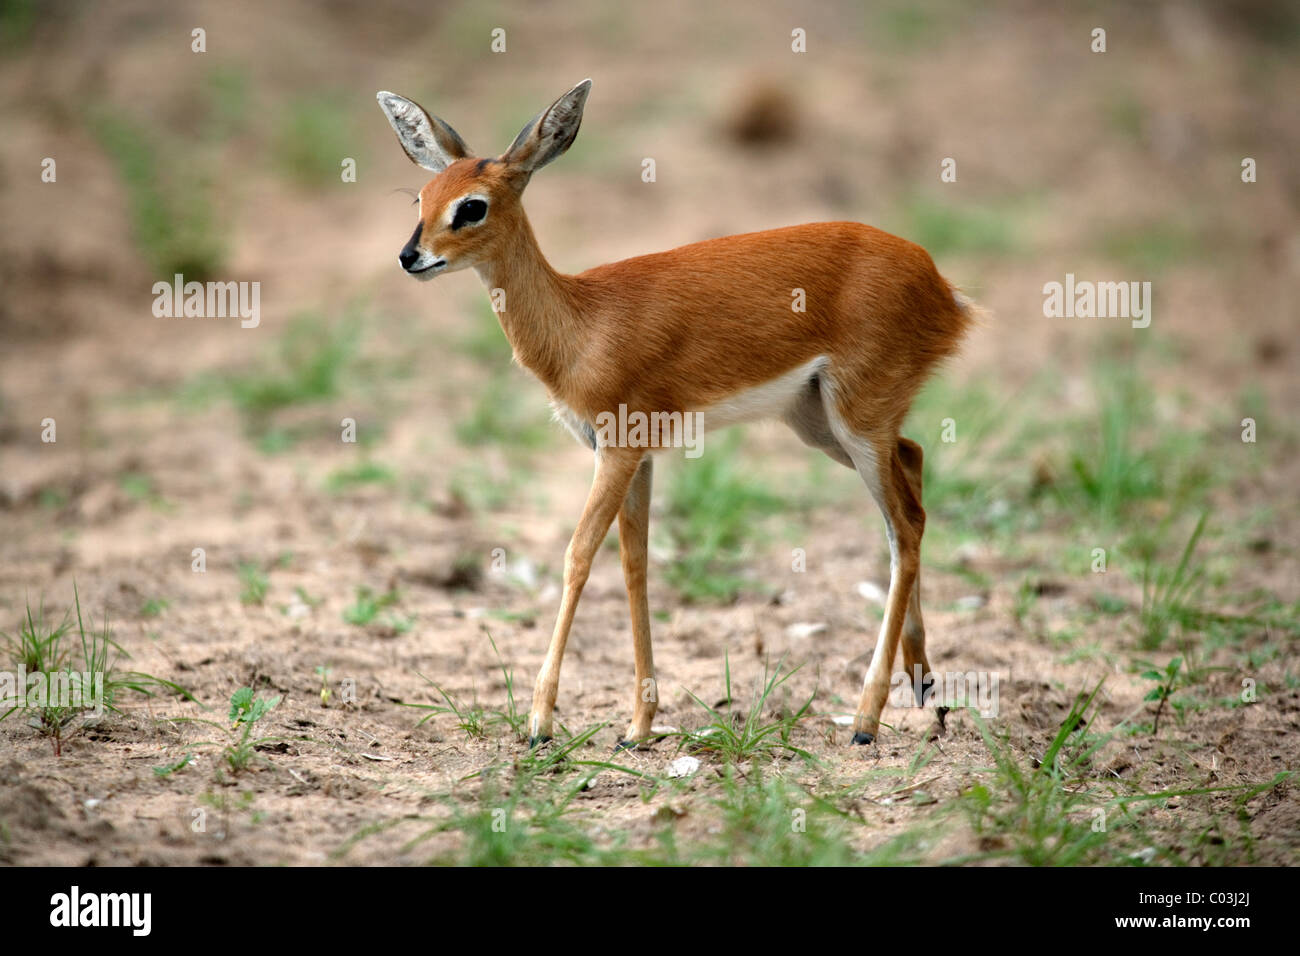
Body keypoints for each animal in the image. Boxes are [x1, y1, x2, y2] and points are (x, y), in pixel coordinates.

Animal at [379, 80, 977, 749]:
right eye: (423, 197)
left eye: (472, 207)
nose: (410, 256)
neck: (581, 324)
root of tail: (941, 285)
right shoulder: (636, 456)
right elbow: (635, 564)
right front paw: (638, 726)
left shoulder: (617, 450)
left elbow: (578, 556)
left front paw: (540, 721)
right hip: (822, 425)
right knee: (915, 467)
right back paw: (923, 681)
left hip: (857, 422)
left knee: (904, 527)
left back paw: (867, 720)